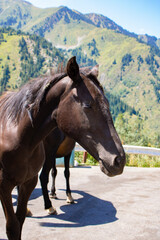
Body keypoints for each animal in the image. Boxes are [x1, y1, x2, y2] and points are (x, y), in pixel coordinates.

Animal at [0, 57, 125, 239]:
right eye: (88, 105)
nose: (119, 160)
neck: (17, 134)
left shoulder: (29, 182)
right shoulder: (3, 185)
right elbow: (13, 227)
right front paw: (66, 197)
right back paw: (49, 206)